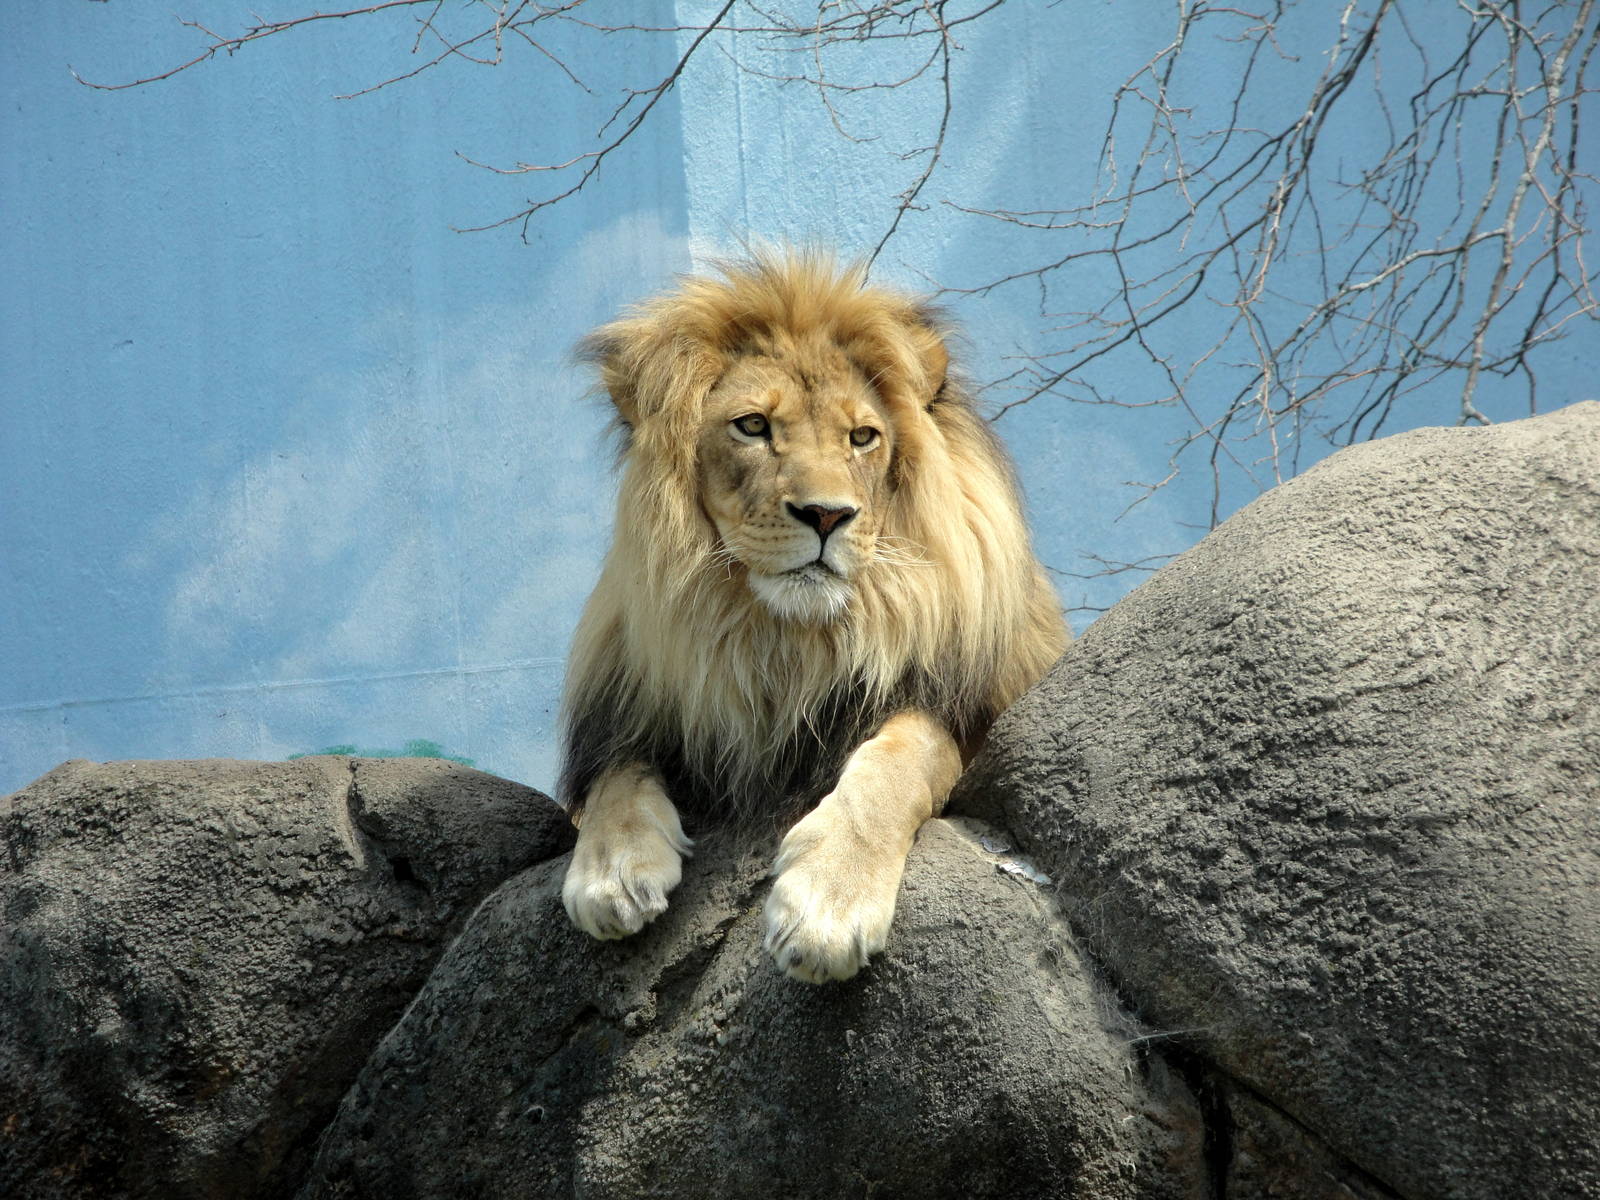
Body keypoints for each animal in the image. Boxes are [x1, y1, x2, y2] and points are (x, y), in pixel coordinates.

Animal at [557, 252, 1067, 983]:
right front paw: (611, 871)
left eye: (862, 438)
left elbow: (900, 758)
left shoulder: (952, 711)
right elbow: (615, 776)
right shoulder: (636, 712)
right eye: (752, 426)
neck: (785, 642)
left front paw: (827, 902)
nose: (827, 516)